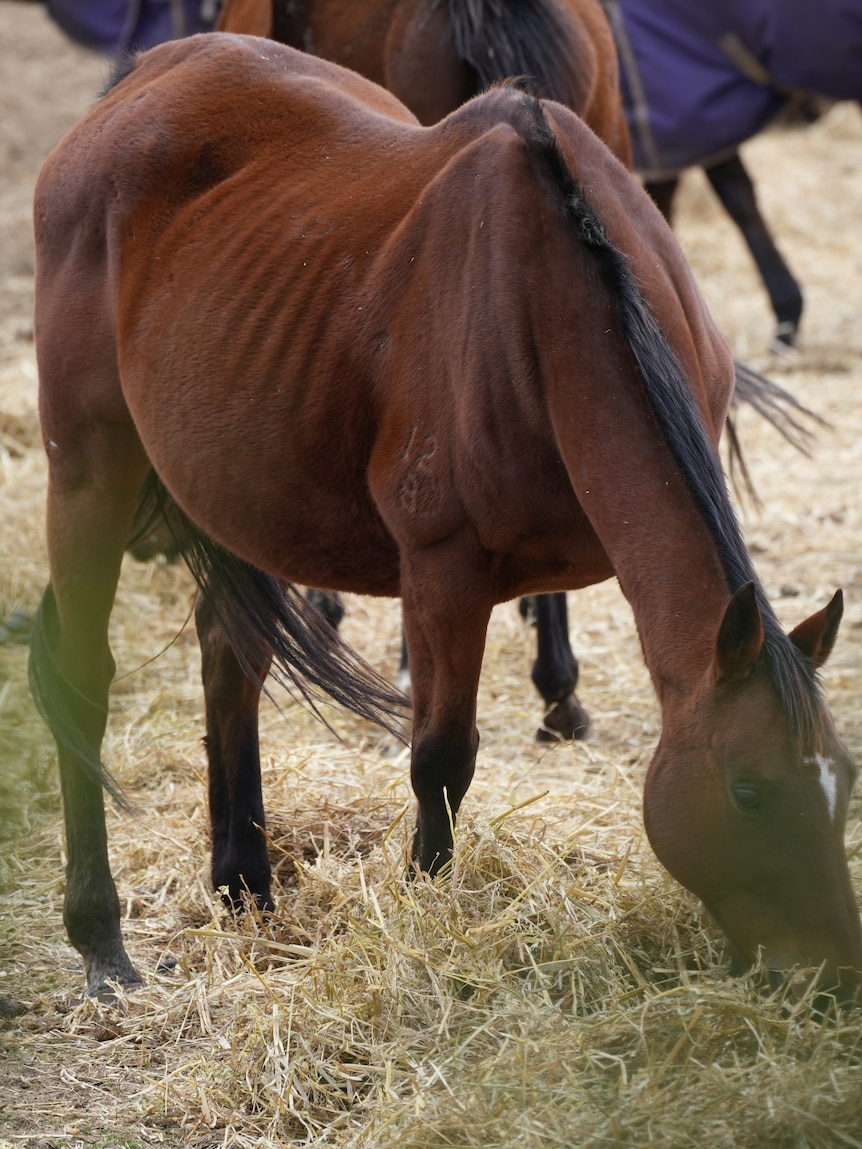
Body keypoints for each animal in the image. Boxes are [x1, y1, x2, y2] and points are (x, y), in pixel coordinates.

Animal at [30, 34, 861, 1000]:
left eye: (844, 782)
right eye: (749, 792)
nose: (829, 973)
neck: (559, 302)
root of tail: (140, 80)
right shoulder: (443, 573)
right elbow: (441, 758)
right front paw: (428, 916)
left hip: (244, 485)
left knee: (231, 656)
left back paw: (246, 885)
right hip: (89, 465)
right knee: (81, 676)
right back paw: (101, 938)